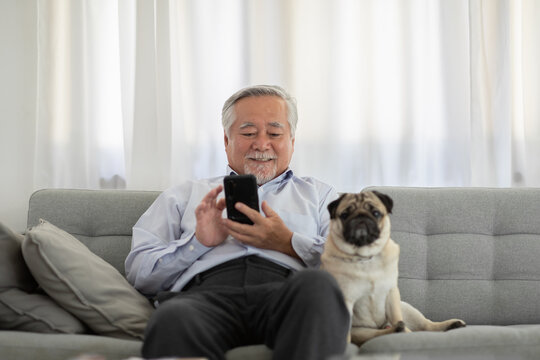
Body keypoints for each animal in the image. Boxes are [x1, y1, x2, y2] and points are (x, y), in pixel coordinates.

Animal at [320, 191, 464, 346]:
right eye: (345, 215)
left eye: (376, 213)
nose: (361, 217)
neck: (366, 258)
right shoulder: (346, 300)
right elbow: (344, 332)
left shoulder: (391, 292)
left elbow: (396, 316)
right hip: (361, 331)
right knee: (377, 333)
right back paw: (395, 330)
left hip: (406, 308)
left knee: (426, 325)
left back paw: (451, 324)